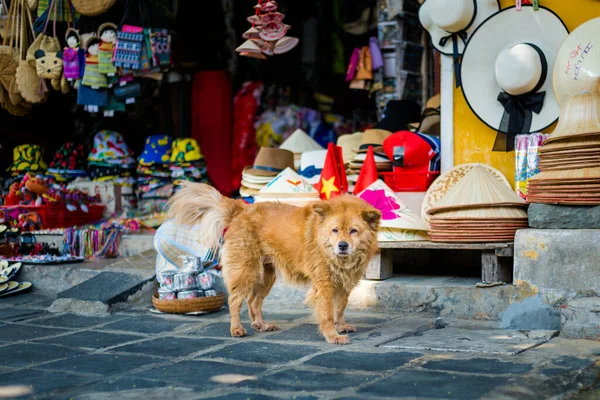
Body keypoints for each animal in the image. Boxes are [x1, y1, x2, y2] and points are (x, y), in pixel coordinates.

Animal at [166, 183, 382, 342]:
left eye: (353, 231)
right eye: (335, 230)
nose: (342, 246)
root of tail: (243, 209)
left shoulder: (344, 285)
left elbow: (340, 308)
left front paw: (341, 326)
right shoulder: (324, 285)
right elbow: (328, 313)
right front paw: (332, 335)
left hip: (266, 276)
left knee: (253, 302)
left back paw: (261, 325)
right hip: (246, 272)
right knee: (234, 301)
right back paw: (237, 329)